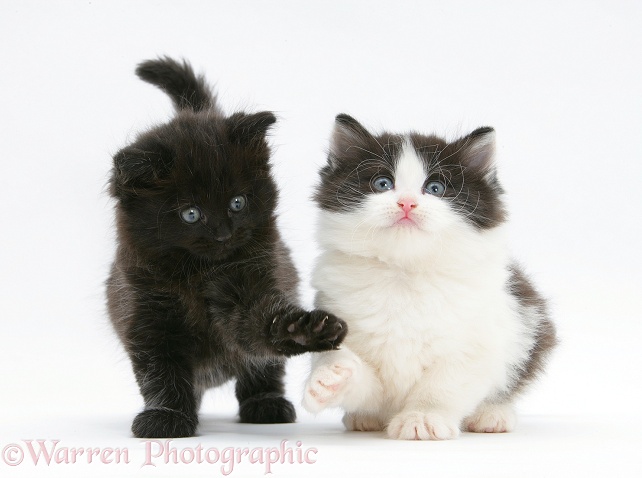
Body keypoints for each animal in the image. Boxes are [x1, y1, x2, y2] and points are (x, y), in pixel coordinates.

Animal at [106, 58, 344, 438]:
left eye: (237, 202)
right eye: (190, 214)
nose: (222, 234)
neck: (198, 276)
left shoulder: (253, 284)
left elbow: (262, 328)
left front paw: (308, 330)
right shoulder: (147, 316)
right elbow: (161, 374)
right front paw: (166, 417)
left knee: (261, 370)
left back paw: (266, 404)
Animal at [302, 114, 556, 438]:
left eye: (435, 188)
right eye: (383, 184)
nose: (407, 203)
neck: (405, 273)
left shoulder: (477, 342)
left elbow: (443, 385)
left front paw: (423, 417)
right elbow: (364, 381)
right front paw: (330, 380)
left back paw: (493, 415)